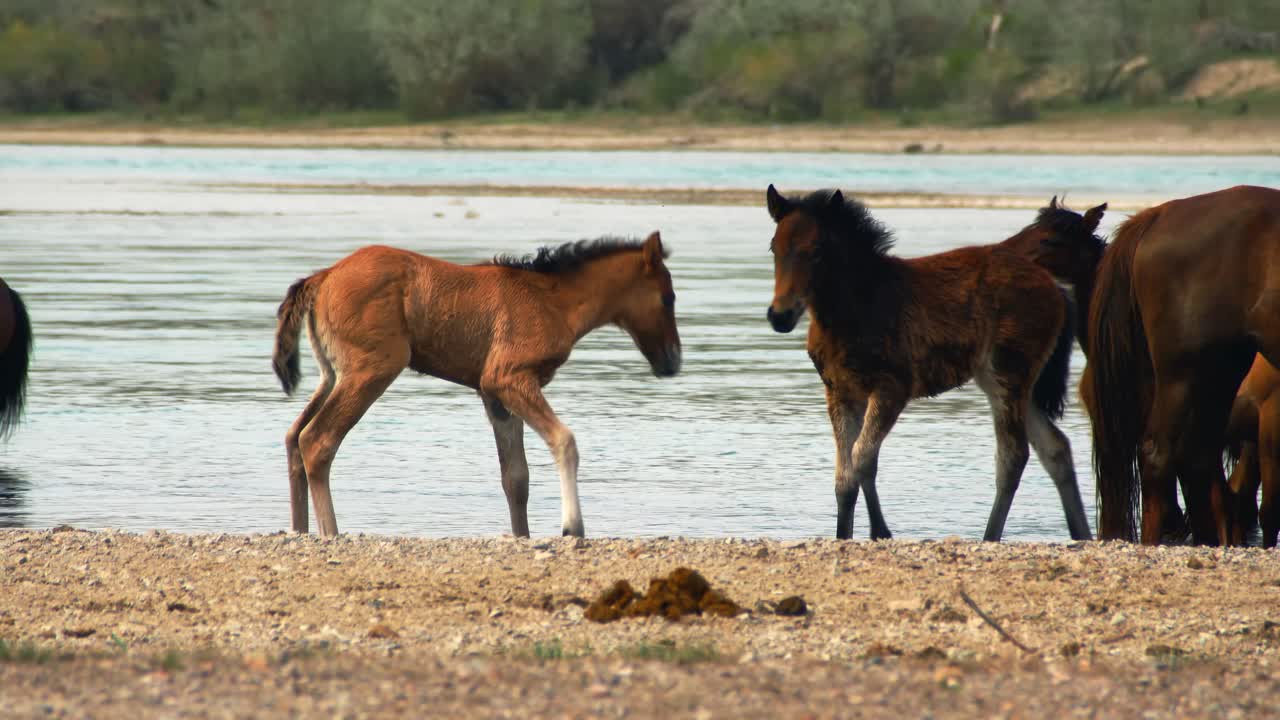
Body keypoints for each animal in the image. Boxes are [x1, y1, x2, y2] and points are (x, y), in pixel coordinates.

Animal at [272, 234, 681, 538]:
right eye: (668, 297)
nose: (672, 361)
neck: (553, 301)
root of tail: (323, 277)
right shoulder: (508, 377)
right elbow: (564, 441)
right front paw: (572, 528)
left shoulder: (493, 395)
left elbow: (516, 477)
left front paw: (523, 536)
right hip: (373, 368)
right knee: (318, 440)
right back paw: (331, 533)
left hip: (332, 374)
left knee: (294, 436)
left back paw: (300, 530)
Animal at [764, 185, 1091, 542]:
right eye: (774, 248)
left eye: (817, 251)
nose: (780, 315)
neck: (853, 310)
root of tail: (1056, 289)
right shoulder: (839, 391)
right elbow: (844, 476)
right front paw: (844, 535)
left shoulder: (892, 387)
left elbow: (863, 458)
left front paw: (880, 531)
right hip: (1006, 382)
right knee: (1055, 447)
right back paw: (1082, 533)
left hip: (1009, 371)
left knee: (1014, 455)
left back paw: (991, 536)